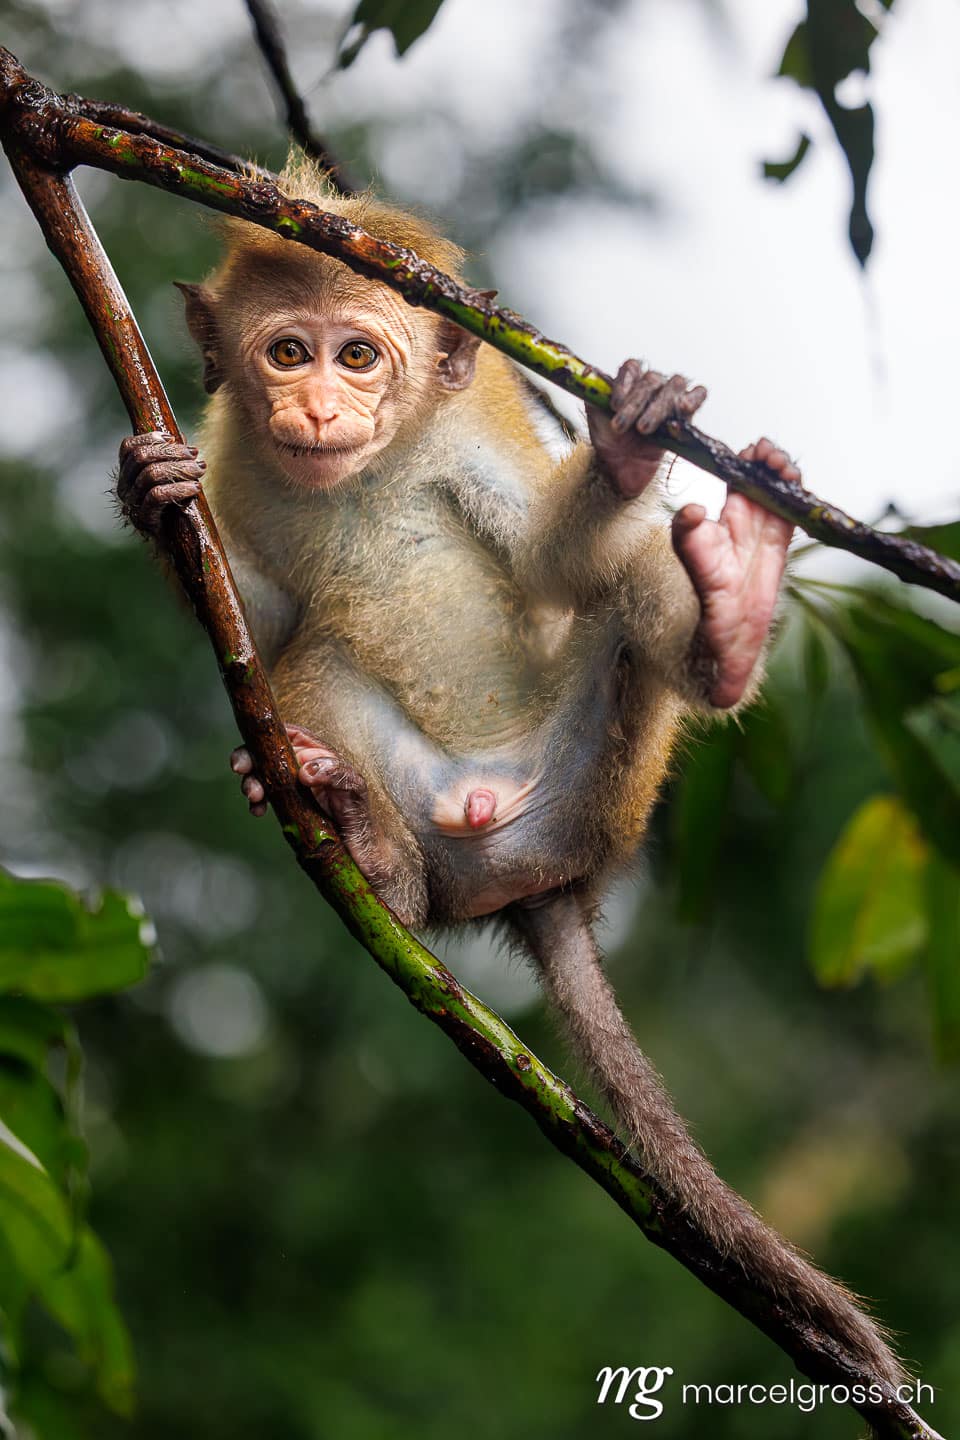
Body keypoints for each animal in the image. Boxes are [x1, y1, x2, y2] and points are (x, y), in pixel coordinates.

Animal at [116, 159, 904, 1389]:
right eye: (288, 352)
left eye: (359, 356)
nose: (317, 409)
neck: (370, 466)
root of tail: (539, 878)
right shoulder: (233, 455)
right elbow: (261, 614)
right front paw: (153, 499)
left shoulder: (468, 447)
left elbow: (552, 565)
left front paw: (627, 447)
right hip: (450, 815)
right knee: (315, 660)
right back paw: (366, 839)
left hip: (598, 787)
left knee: (630, 580)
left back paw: (729, 617)